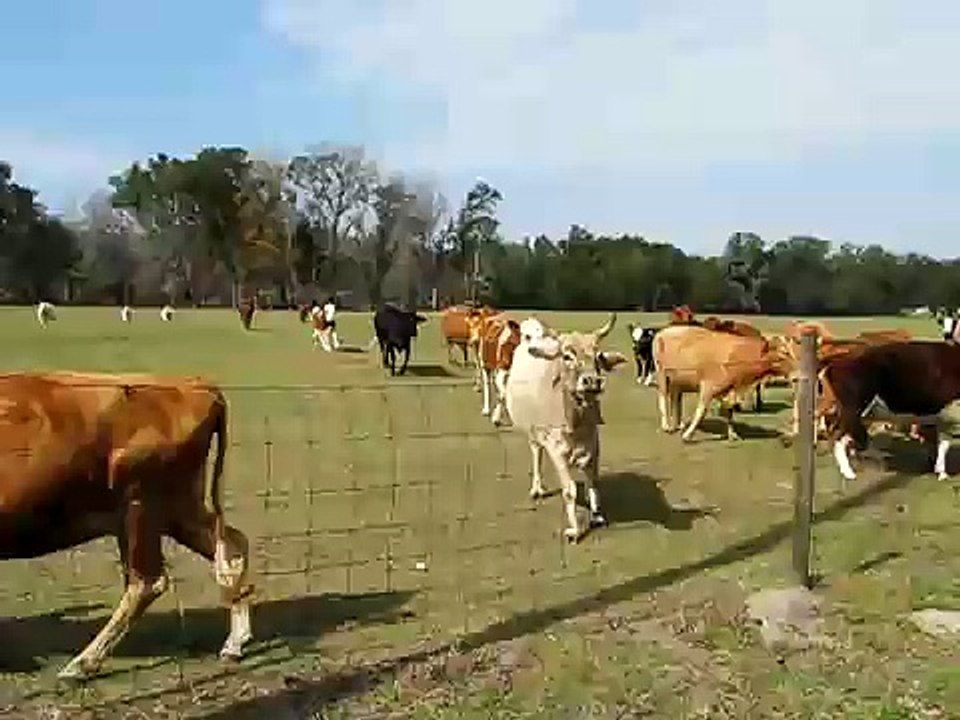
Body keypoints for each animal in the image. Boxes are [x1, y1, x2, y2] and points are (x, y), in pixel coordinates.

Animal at [0, 371, 253, 680]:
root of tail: (194, 384)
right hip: (176, 509)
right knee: (232, 547)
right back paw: (235, 643)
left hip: (139, 506)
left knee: (146, 581)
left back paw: (83, 663)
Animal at [504, 314, 628, 542]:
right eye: (567, 356)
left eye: (598, 356)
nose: (592, 381)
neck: (575, 423)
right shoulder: (556, 451)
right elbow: (569, 490)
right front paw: (576, 530)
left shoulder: (594, 444)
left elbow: (593, 481)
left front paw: (597, 516)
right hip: (532, 432)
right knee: (536, 452)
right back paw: (537, 487)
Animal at [653, 324, 792, 442]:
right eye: (784, 353)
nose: (795, 371)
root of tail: (663, 332)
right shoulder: (708, 387)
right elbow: (701, 412)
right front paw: (688, 435)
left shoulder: (729, 389)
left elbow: (729, 412)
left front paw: (732, 434)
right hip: (662, 374)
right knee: (663, 397)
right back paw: (667, 426)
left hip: (677, 381)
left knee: (675, 399)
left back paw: (678, 425)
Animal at [817, 341, 960, 482]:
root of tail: (834, 363)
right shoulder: (934, 411)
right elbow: (941, 442)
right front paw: (940, 472)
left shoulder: (935, 415)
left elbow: (940, 442)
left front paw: (937, 469)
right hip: (854, 411)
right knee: (841, 436)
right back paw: (852, 472)